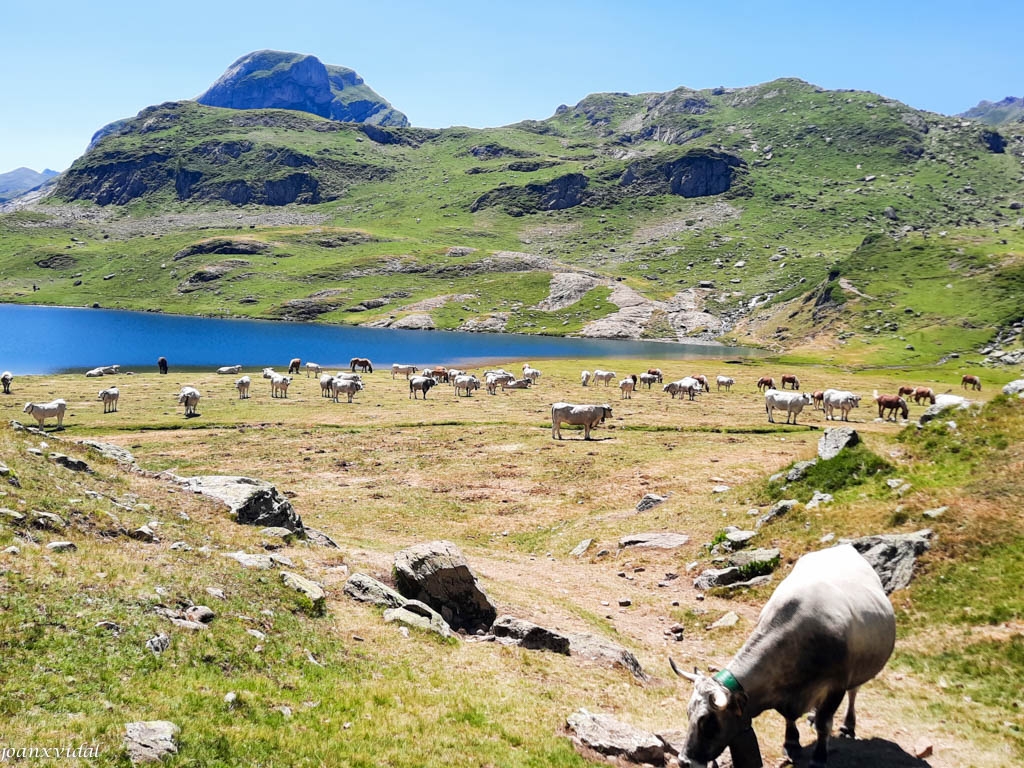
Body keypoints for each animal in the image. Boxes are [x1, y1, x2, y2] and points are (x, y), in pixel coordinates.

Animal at [667, 544, 892, 768]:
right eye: (688, 713)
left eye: (709, 722)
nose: (684, 761)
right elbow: (788, 718)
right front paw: (791, 742)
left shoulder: (836, 687)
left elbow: (824, 724)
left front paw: (819, 757)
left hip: (859, 669)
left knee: (854, 692)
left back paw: (848, 726)